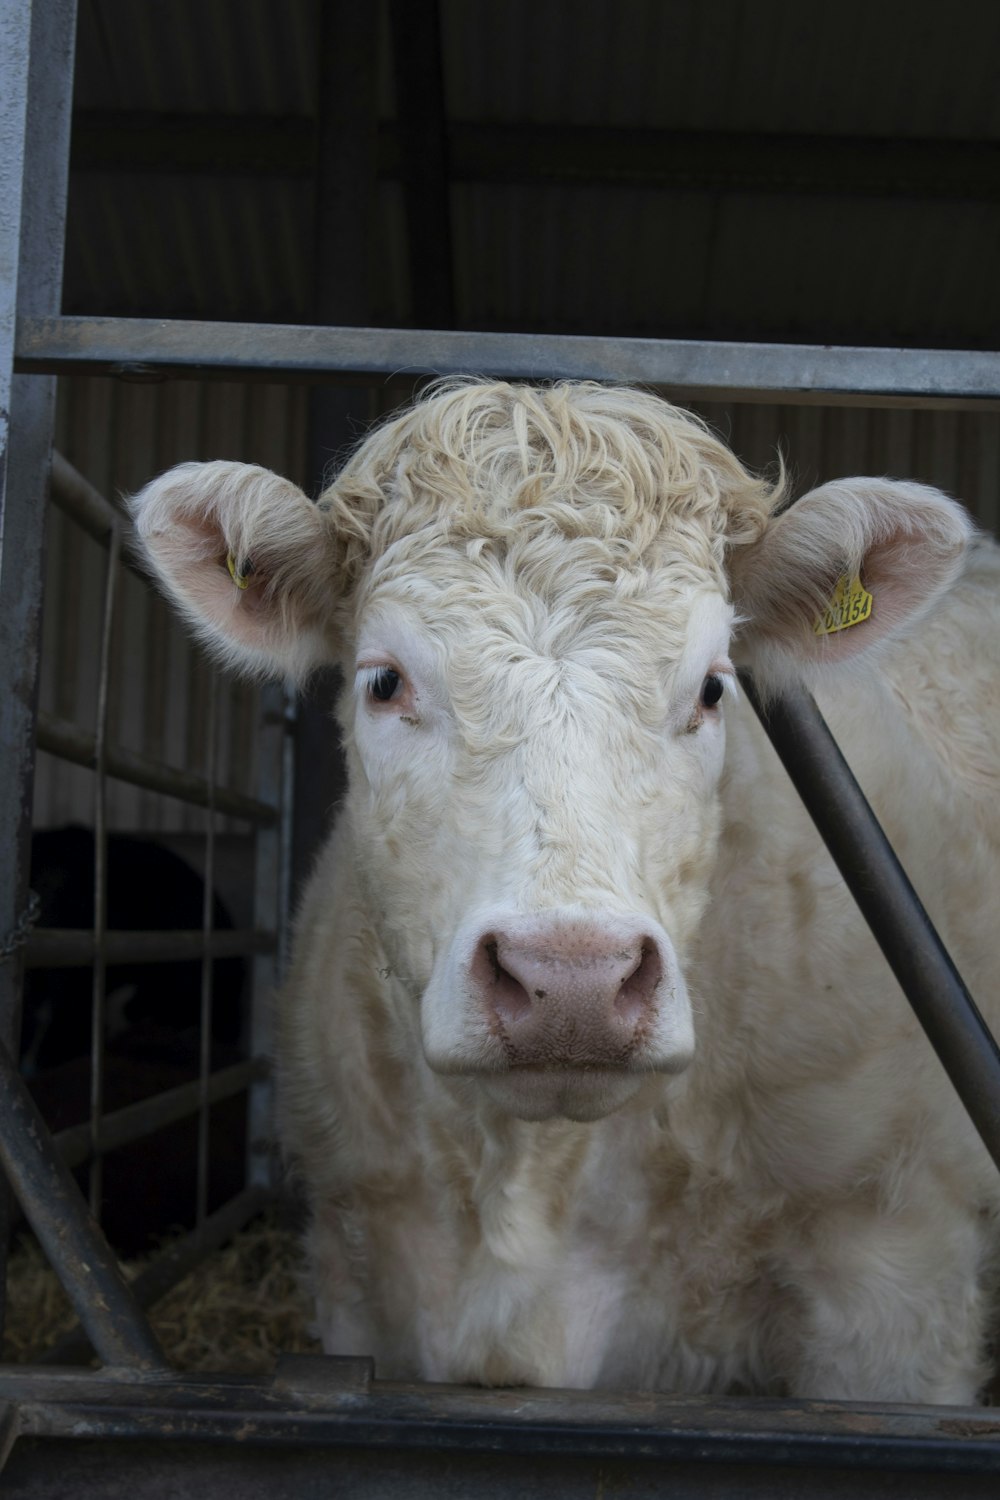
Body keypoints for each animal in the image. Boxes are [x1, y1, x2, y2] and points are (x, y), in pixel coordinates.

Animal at [131, 381, 1000, 1398]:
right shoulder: (364, 1271)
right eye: (384, 681)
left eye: (713, 689)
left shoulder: (895, 1269)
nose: (571, 981)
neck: (534, 1177)